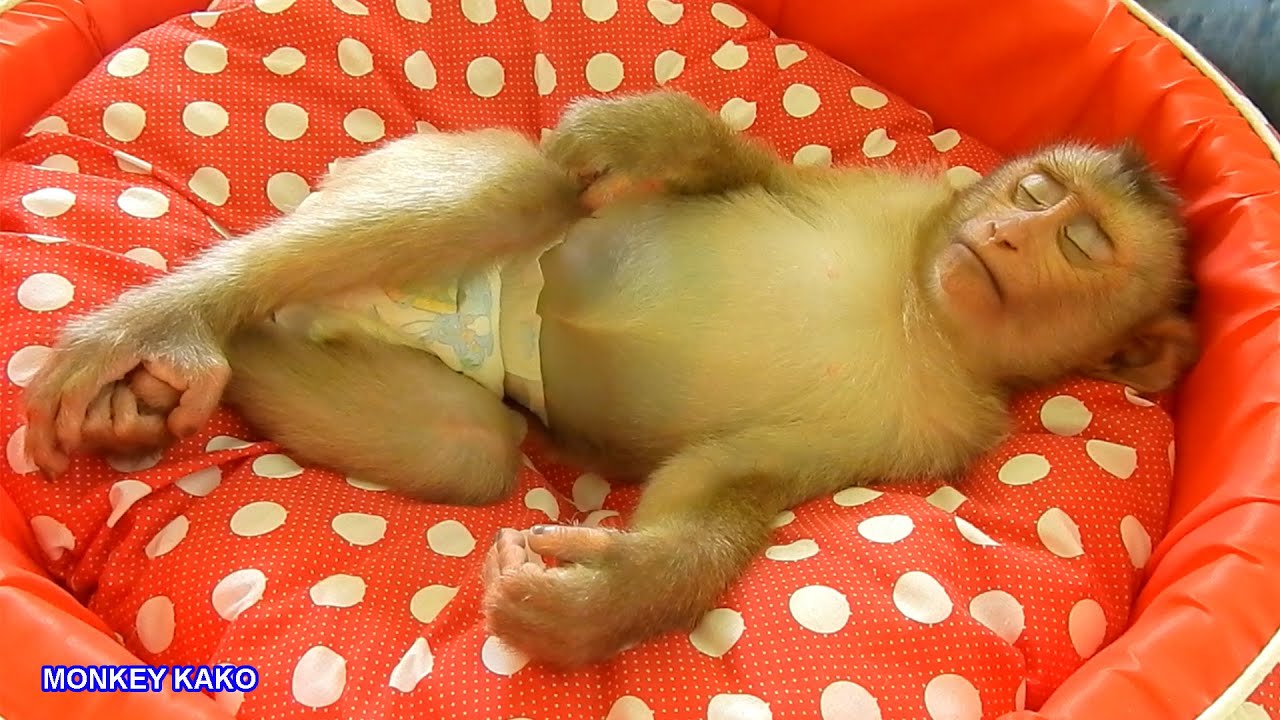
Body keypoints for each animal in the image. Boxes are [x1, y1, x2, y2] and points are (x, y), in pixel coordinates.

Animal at [19, 91, 1198, 669]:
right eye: (1034, 191)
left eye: (1081, 241)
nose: (1002, 235)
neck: (922, 306)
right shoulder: (893, 202)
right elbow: (735, 173)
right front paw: (640, 132)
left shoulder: (935, 432)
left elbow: (718, 489)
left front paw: (596, 604)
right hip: (408, 166)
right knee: (518, 189)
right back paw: (164, 319)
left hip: (431, 374)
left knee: (465, 443)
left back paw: (192, 375)